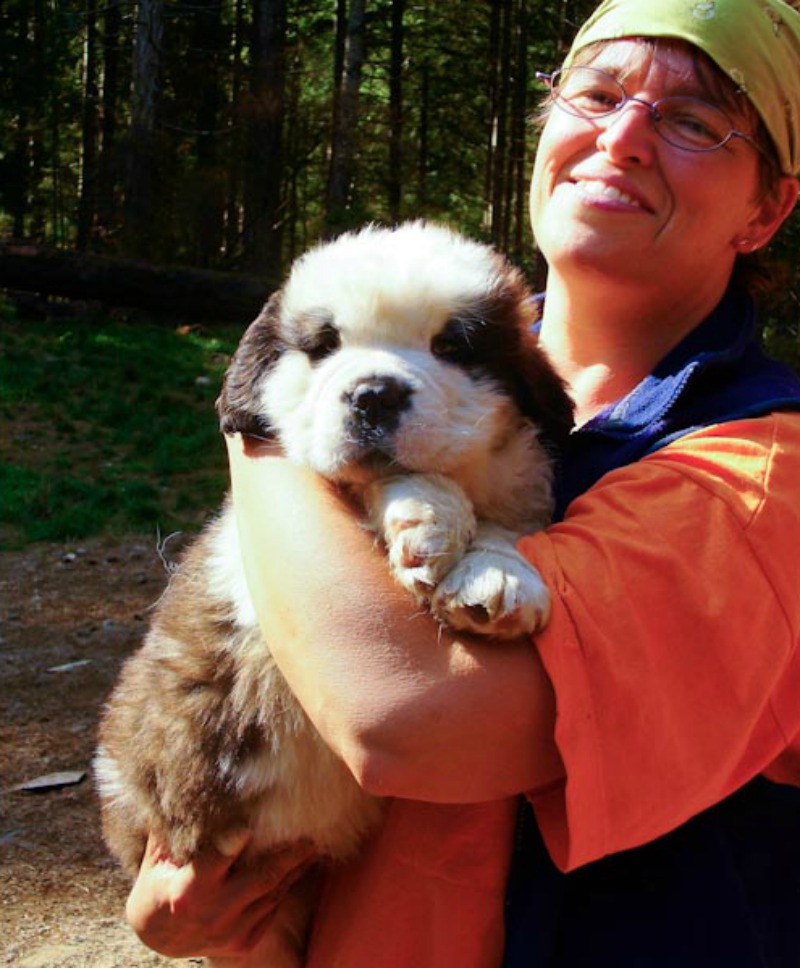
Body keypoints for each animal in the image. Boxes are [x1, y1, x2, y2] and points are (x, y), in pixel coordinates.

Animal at [95, 221, 574, 967]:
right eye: (323, 345)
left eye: (451, 345)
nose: (374, 394)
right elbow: (388, 481)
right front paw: (430, 519)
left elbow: (509, 525)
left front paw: (496, 576)